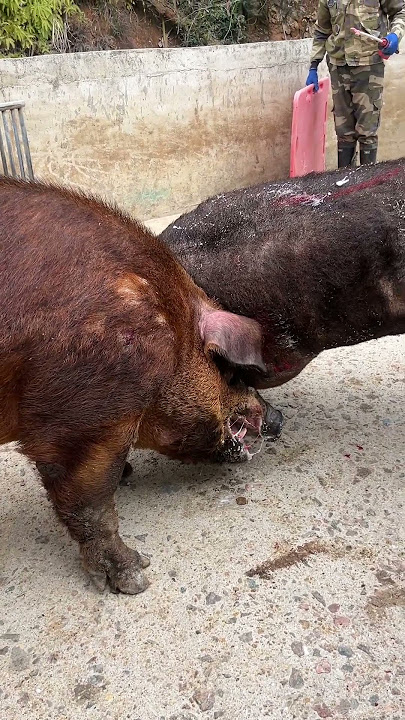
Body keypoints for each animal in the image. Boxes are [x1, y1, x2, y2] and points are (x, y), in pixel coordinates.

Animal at [0, 177, 278, 595]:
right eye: (232, 373)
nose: (277, 418)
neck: (173, 334)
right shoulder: (81, 418)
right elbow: (89, 500)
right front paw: (136, 578)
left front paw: (129, 473)